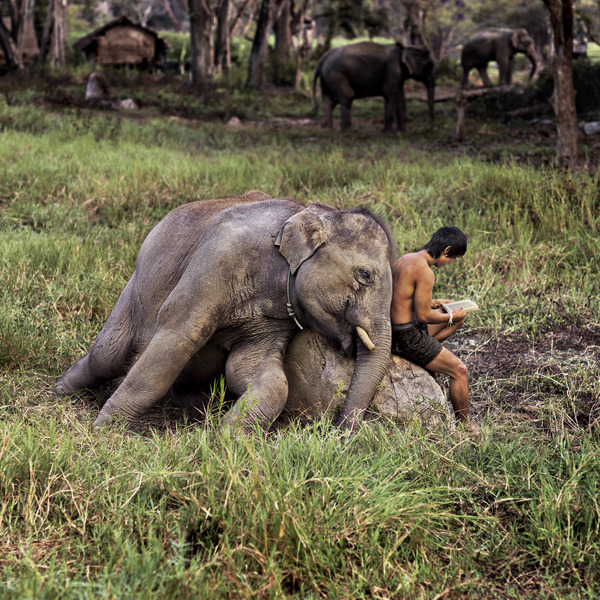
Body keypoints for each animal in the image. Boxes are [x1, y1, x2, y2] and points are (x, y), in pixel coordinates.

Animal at [54, 192, 396, 432]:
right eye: (365, 275)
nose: (338, 430)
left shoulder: (276, 319)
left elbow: (258, 372)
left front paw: (226, 436)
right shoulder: (219, 257)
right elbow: (178, 337)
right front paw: (106, 431)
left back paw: (201, 411)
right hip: (135, 287)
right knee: (108, 354)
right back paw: (60, 390)